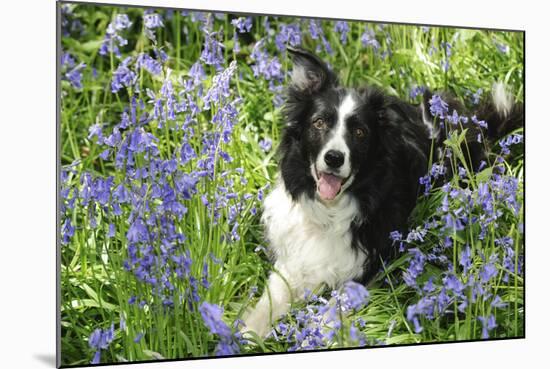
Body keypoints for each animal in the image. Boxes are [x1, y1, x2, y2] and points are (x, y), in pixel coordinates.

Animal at [244, 46, 524, 336]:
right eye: (319, 123)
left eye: (359, 132)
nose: (334, 158)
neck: (329, 212)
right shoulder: (293, 261)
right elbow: (266, 305)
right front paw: (243, 335)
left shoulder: (373, 263)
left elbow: (329, 313)